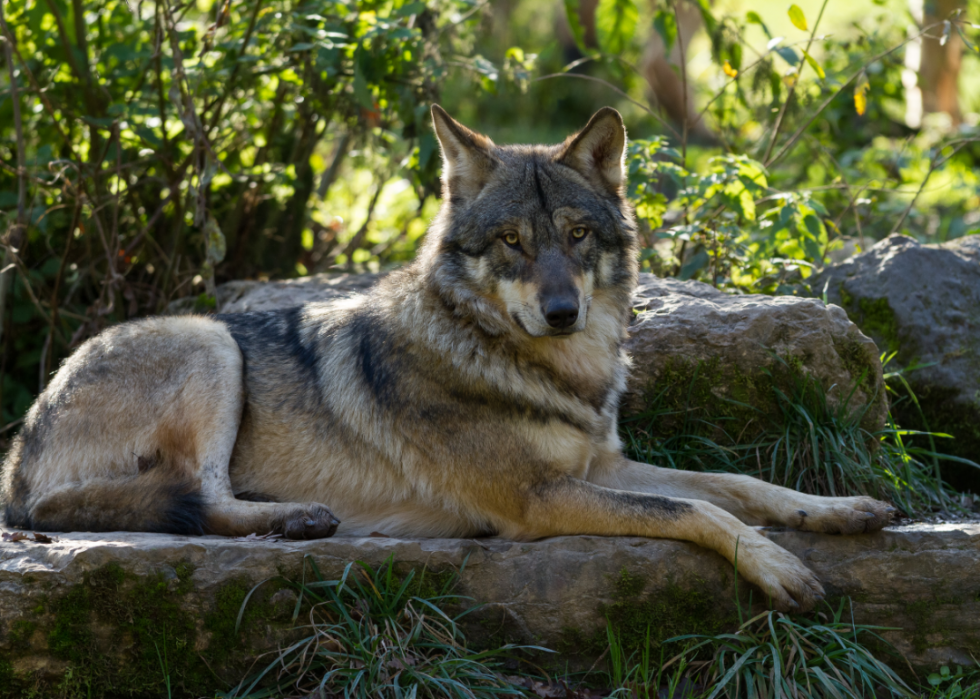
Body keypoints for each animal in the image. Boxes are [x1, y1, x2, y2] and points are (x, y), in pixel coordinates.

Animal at [0, 105, 892, 612]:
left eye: (577, 234)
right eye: (511, 242)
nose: (562, 312)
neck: (548, 369)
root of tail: (17, 469)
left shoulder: (599, 467)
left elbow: (735, 484)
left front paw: (840, 508)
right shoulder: (537, 500)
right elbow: (694, 511)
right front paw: (777, 565)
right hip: (207, 339)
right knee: (201, 501)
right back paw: (294, 518)